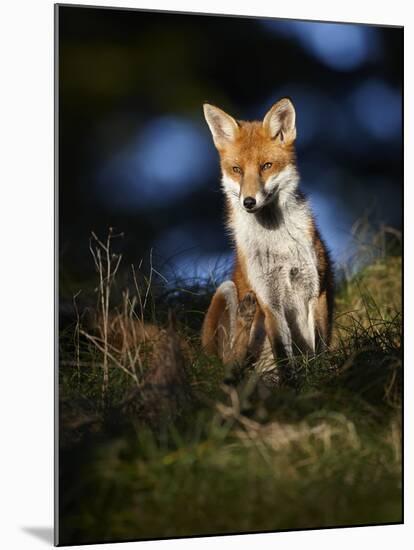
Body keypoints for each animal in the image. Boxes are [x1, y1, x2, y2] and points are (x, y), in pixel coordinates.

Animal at [201, 98, 334, 376]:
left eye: (266, 166)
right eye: (237, 170)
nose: (249, 202)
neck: (278, 242)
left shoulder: (316, 290)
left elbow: (318, 348)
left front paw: (322, 378)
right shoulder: (269, 301)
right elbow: (283, 354)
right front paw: (292, 385)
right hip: (225, 291)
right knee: (231, 362)